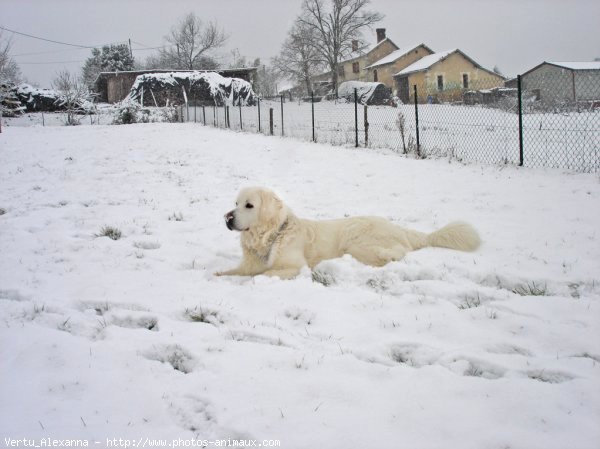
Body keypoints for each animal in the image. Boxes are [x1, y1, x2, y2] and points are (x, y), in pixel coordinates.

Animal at [213, 185, 480, 276]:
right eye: (236, 203)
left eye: (249, 205)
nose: (227, 218)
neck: (269, 236)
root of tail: (400, 229)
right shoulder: (248, 264)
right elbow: (232, 272)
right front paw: (217, 275)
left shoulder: (295, 267)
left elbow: (264, 274)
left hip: (358, 244)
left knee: (395, 254)